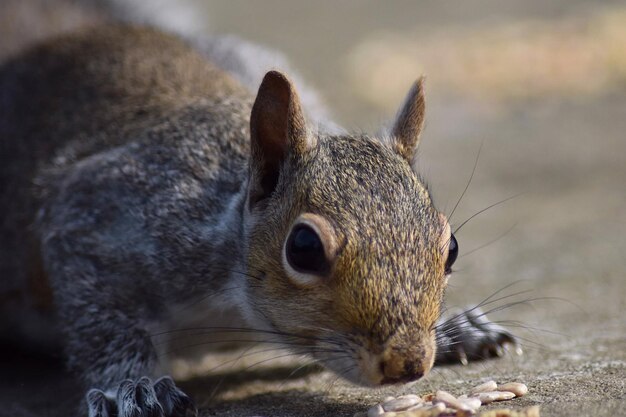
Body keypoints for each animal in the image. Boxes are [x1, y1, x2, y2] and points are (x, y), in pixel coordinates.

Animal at [0, 13, 516, 417]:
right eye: (303, 249)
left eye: (451, 248)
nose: (407, 362)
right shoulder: (104, 216)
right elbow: (103, 322)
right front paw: (129, 387)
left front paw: (457, 330)